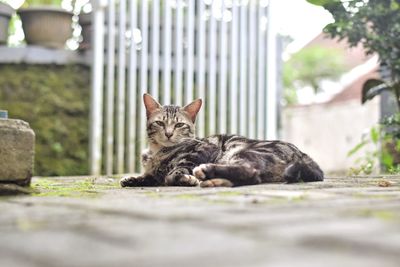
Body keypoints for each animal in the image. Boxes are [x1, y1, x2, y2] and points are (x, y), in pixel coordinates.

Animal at [120, 94, 324, 188]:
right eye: (160, 123)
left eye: (179, 125)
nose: (169, 133)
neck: (158, 152)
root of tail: (303, 154)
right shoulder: (153, 173)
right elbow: (148, 176)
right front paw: (132, 178)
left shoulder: (203, 149)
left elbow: (175, 172)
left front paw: (182, 178)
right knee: (252, 178)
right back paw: (213, 181)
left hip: (242, 151)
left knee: (250, 171)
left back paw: (206, 172)